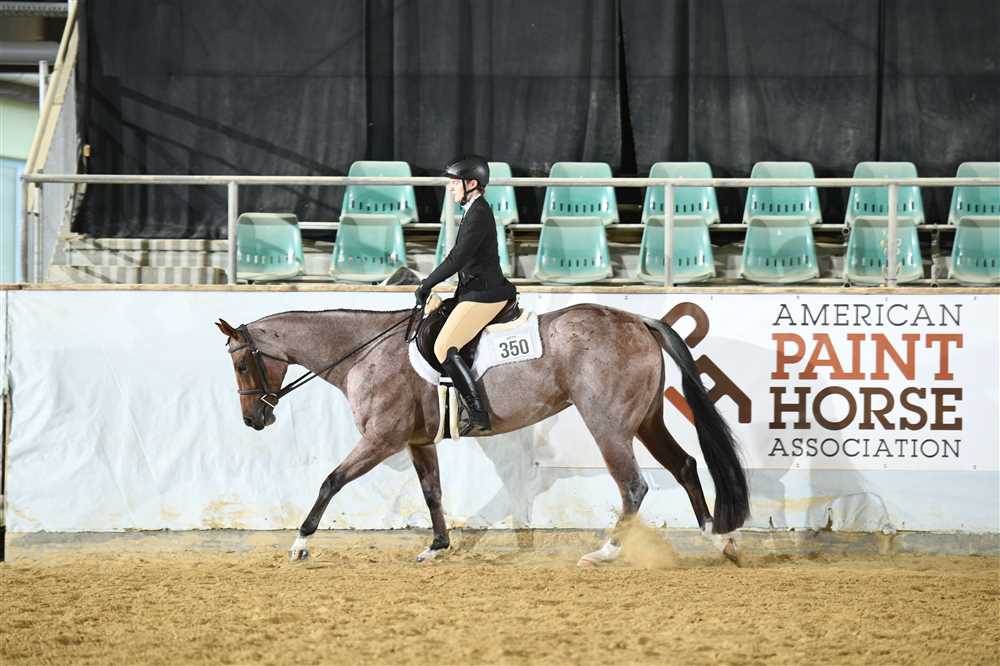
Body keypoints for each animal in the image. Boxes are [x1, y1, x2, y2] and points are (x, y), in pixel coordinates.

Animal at [215, 301, 749, 565]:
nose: (253, 421)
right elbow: (432, 492)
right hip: (646, 419)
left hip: (609, 424)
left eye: (241, 364)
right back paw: (718, 540)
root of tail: (637, 319)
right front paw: (436, 547)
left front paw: (300, 544)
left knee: (634, 486)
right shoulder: (417, 441)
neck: (364, 351)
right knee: (685, 466)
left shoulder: (382, 439)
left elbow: (330, 481)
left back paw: (605, 552)